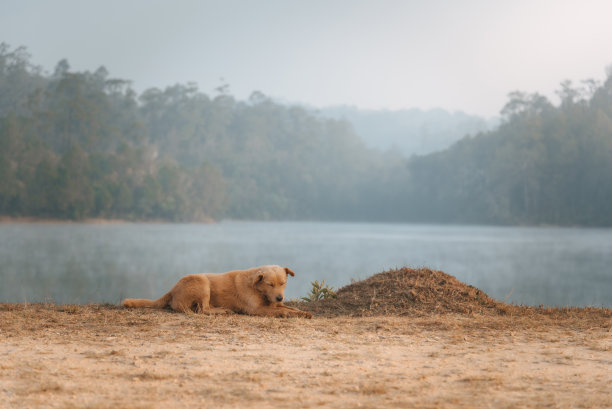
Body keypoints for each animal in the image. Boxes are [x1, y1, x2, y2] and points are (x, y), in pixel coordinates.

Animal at [120, 264, 310, 318]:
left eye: (283, 283)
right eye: (270, 284)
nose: (280, 297)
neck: (257, 288)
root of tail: (172, 289)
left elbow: (291, 308)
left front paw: (301, 312)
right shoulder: (256, 309)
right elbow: (283, 311)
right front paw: (290, 314)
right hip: (202, 282)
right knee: (202, 310)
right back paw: (222, 311)